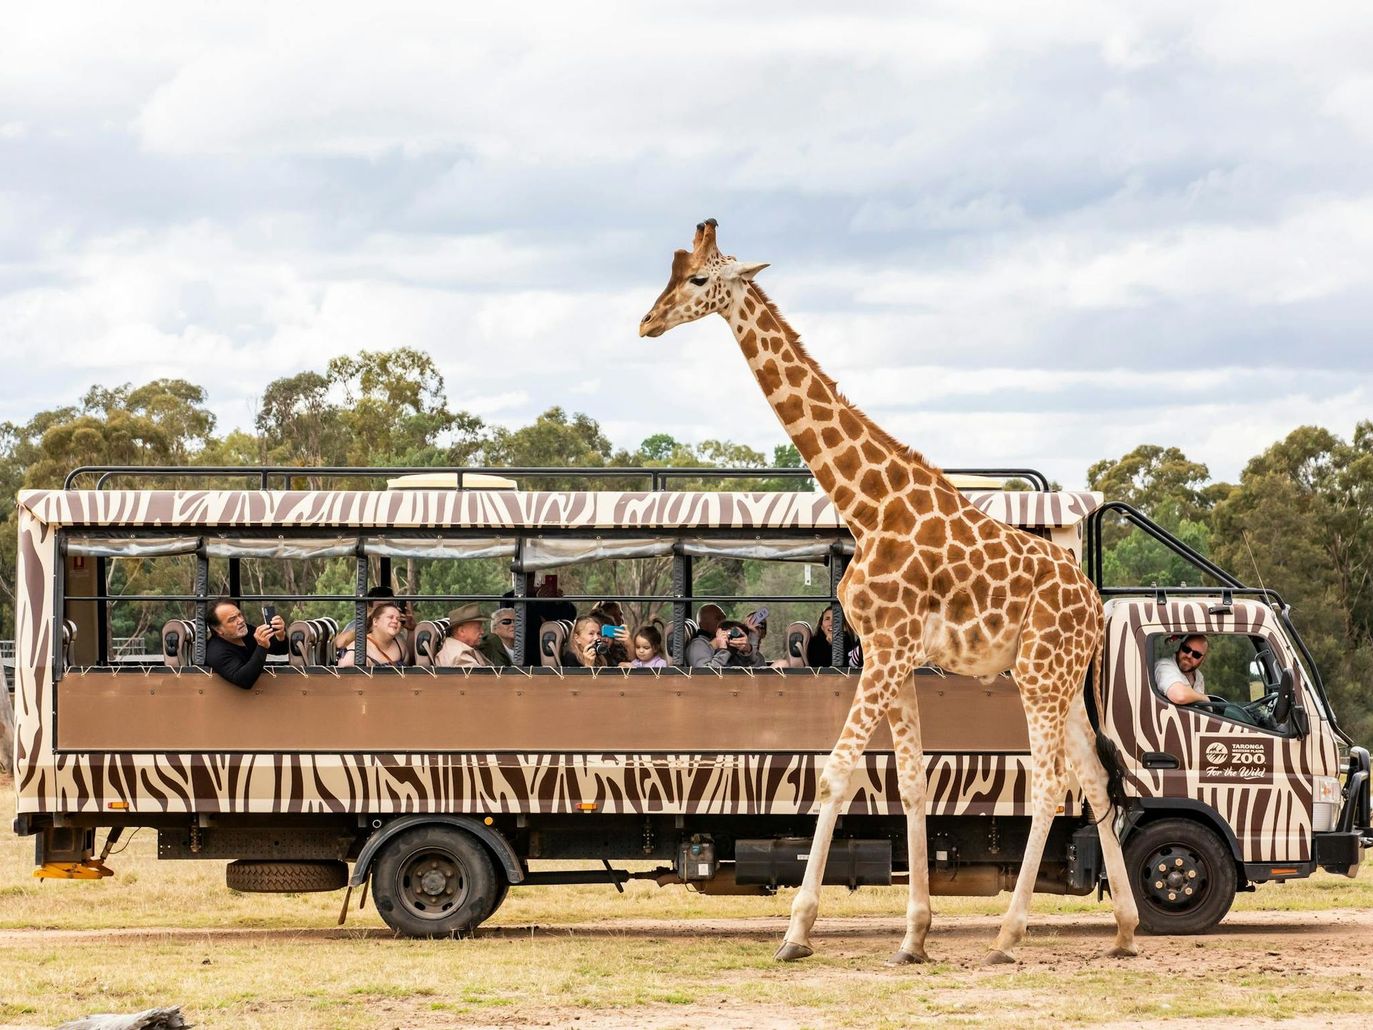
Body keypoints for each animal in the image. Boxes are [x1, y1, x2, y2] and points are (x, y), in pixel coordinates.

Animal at [637, 219, 1142, 966]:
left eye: (698, 279)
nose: (646, 322)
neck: (866, 505)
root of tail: (1095, 606)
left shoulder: (885, 648)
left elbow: (836, 772)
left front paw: (796, 932)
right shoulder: (895, 654)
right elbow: (909, 783)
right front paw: (913, 936)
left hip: (1038, 672)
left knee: (1051, 781)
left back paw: (1006, 935)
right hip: (1058, 677)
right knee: (1092, 774)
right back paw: (1125, 930)